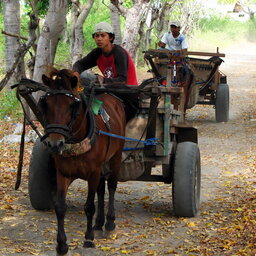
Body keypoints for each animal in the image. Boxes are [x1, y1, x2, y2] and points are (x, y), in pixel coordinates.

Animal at [38, 67, 126, 255]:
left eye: (72, 105)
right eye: (46, 104)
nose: (54, 144)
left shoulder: (93, 173)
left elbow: (89, 206)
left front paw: (88, 238)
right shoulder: (63, 173)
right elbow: (60, 207)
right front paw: (61, 244)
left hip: (115, 156)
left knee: (111, 186)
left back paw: (109, 222)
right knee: (101, 190)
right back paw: (98, 224)